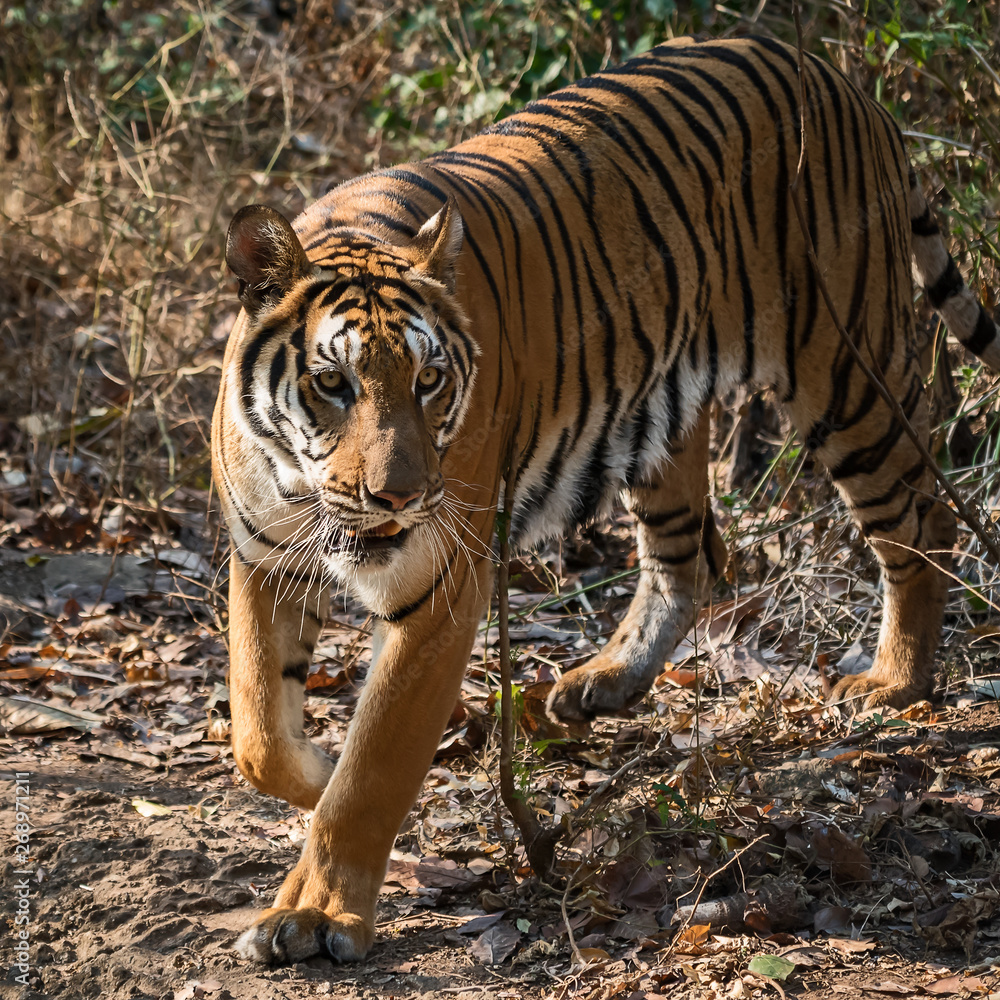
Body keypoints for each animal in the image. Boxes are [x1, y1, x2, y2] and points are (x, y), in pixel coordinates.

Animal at [212, 35, 1000, 964]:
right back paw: (604, 682)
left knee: (920, 520)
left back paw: (893, 681)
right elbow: (257, 731)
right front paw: (313, 778)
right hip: (661, 421)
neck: (304, 487)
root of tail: (834, 76)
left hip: (846, 373)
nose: (399, 494)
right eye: (332, 384)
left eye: (430, 381)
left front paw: (320, 913)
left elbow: (376, 765)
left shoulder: (437, 589)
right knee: (688, 558)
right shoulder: (262, 559)